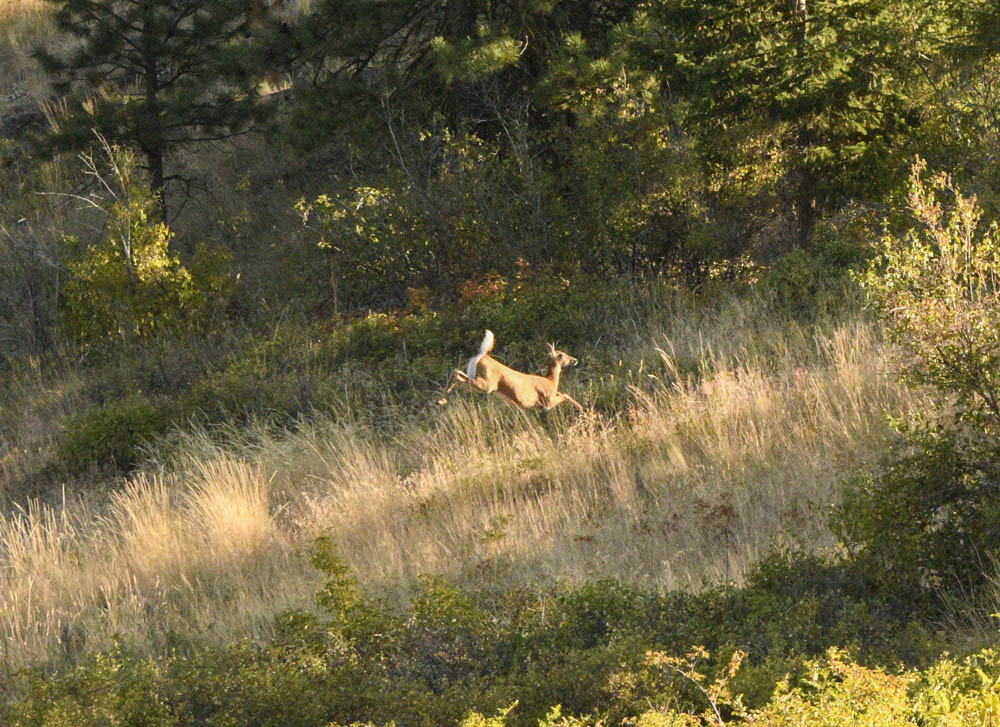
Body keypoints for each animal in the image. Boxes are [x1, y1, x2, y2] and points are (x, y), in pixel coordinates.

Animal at [437, 330, 584, 411]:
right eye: (561, 355)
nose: (574, 359)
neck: (551, 381)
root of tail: (482, 355)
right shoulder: (547, 402)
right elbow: (566, 395)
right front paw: (581, 408)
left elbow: (563, 393)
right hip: (486, 384)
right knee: (457, 372)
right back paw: (441, 400)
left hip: (475, 380)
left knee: (457, 374)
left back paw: (441, 400)